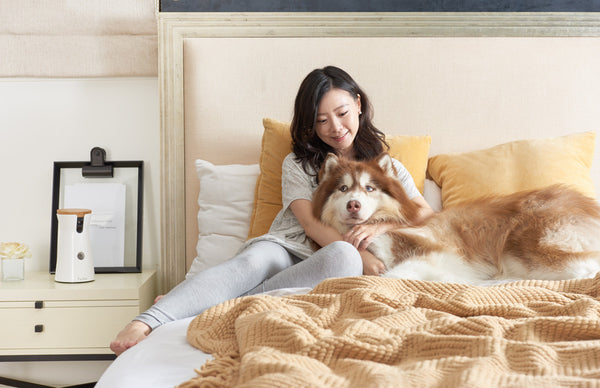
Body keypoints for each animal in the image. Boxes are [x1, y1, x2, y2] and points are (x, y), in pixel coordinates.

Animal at [312, 153, 600, 284]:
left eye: (369, 188)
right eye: (343, 188)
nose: (353, 205)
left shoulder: (438, 252)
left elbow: (391, 276)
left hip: (525, 245)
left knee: (585, 266)